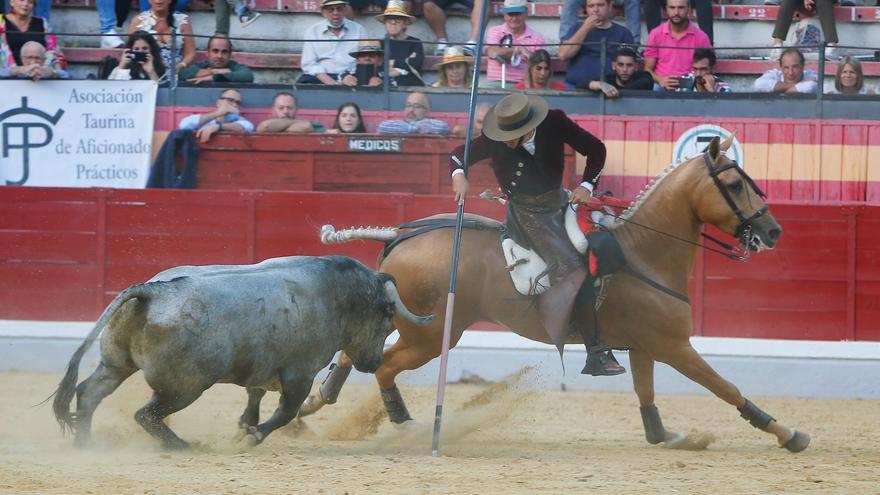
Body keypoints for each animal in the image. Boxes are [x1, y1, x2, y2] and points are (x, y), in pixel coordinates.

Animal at [51, 256, 434, 450]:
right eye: (387, 318)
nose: (374, 363)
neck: (335, 294)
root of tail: (152, 291)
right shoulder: (300, 372)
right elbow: (285, 412)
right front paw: (252, 436)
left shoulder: (263, 368)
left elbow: (254, 397)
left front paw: (244, 428)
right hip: (185, 387)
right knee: (146, 414)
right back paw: (180, 445)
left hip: (115, 363)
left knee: (89, 392)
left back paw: (86, 444)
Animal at [292, 135, 808, 454]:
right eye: (735, 183)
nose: (773, 231)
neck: (645, 251)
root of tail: (400, 235)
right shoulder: (674, 346)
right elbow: (725, 386)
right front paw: (787, 433)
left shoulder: (645, 347)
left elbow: (647, 397)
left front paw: (669, 436)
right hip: (433, 336)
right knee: (383, 368)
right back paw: (407, 426)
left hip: (413, 327)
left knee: (357, 354)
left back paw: (315, 402)